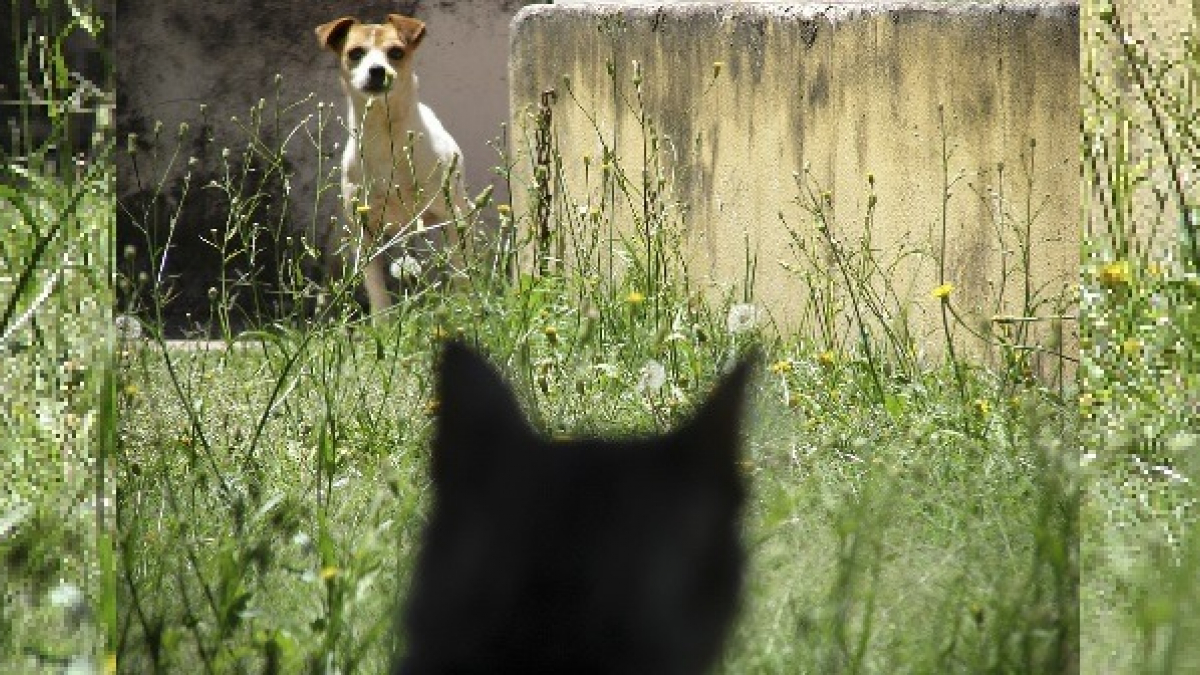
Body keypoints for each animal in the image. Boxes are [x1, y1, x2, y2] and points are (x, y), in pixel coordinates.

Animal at [314, 14, 468, 317]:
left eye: (396, 52)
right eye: (355, 53)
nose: (377, 71)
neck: (385, 137)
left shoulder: (451, 217)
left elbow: (459, 273)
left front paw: (464, 307)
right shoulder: (363, 232)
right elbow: (377, 290)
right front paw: (383, 322)